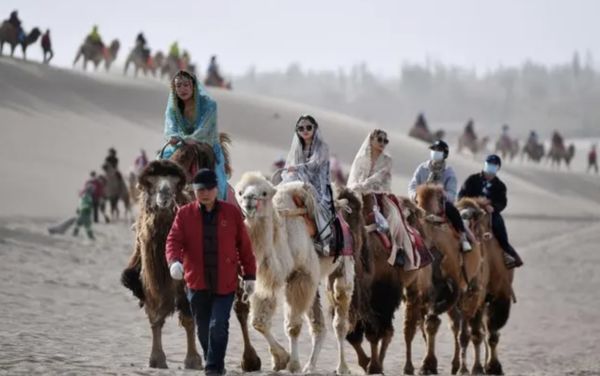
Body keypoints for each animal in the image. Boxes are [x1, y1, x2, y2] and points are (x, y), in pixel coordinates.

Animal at [236, 173, 356, 374]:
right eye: (240, 192)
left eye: (264, 193)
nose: (248, 200)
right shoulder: (265, 280)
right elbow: (259, 322)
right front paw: (280, 359)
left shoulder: (300, 275)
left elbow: (293, 326)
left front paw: (293, 364)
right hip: (314, 282)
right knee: (318, 325)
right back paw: (310, 366)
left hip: (342, 267)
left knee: (339, 319)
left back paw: (342, 367)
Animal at [454, 198, 516, 374]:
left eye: (473, 223)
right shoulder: (462, 301)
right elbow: (464, 335)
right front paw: (465, 369)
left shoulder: (495, 297)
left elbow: (487, 333)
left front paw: (489, 367)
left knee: (488, 331)